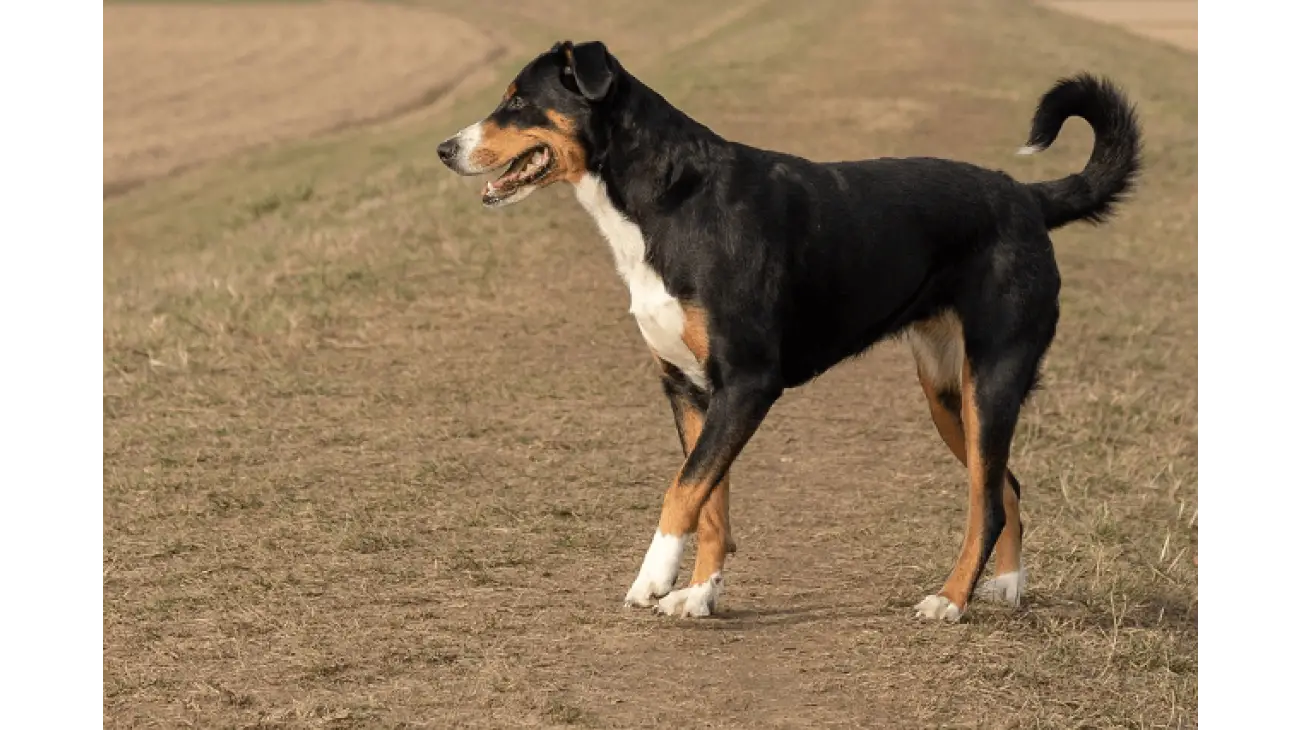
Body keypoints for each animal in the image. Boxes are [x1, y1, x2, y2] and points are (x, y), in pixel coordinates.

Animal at [436, 39, 1138, 618]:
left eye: (518, 99)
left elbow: (681, 492)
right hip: (947, 392)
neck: (669, 200)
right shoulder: (691, 389)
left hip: (993, 377)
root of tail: (1026, 197)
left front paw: (653, 579)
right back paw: (1009, 587)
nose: (444, 149)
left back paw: (950, 600)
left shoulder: (748, 382)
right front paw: (699, 594)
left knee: (986, 501)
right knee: (1004, 486)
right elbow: (711, 501)